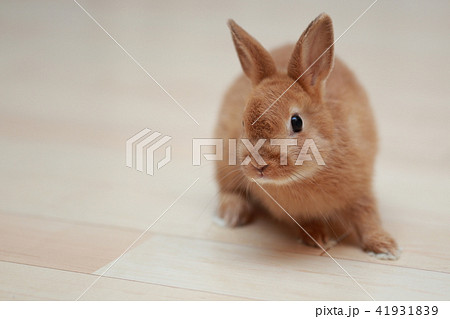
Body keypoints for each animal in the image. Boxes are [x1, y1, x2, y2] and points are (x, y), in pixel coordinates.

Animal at [214, 13, 400, 262]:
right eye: (242, 123)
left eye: (296, 122)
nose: (258, 165)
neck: (308, 174)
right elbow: (307, 220)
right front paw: (318, 237)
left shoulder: (361, 190)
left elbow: (367, 217)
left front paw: (386, 248)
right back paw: (230, 216)